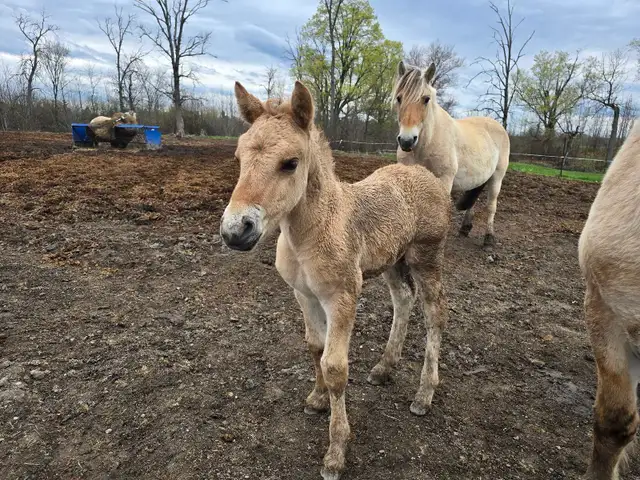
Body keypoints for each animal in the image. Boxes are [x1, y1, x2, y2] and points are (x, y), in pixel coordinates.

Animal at [220, 80, 452, 479]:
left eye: (290, 163)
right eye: (238, 159)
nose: (236, 230)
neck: (311, 231)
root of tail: (425, 175)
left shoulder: (342, 296)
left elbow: (335, 367)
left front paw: (336, 451)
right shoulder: (304, 294)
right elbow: (315, 346)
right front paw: (316, 399)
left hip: (426, 258)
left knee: (434, 313)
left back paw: (424, 395)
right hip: (393, 260)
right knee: (403, 300)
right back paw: (384, 367)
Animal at [392, 61, 511, 247]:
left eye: (426, 99)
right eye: (399, 98)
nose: (406, 141)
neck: (427, 142)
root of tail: (498, 127)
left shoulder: (444, 180)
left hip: (497, 177)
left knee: (491, 206)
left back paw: (489, 238)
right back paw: (465, 228)